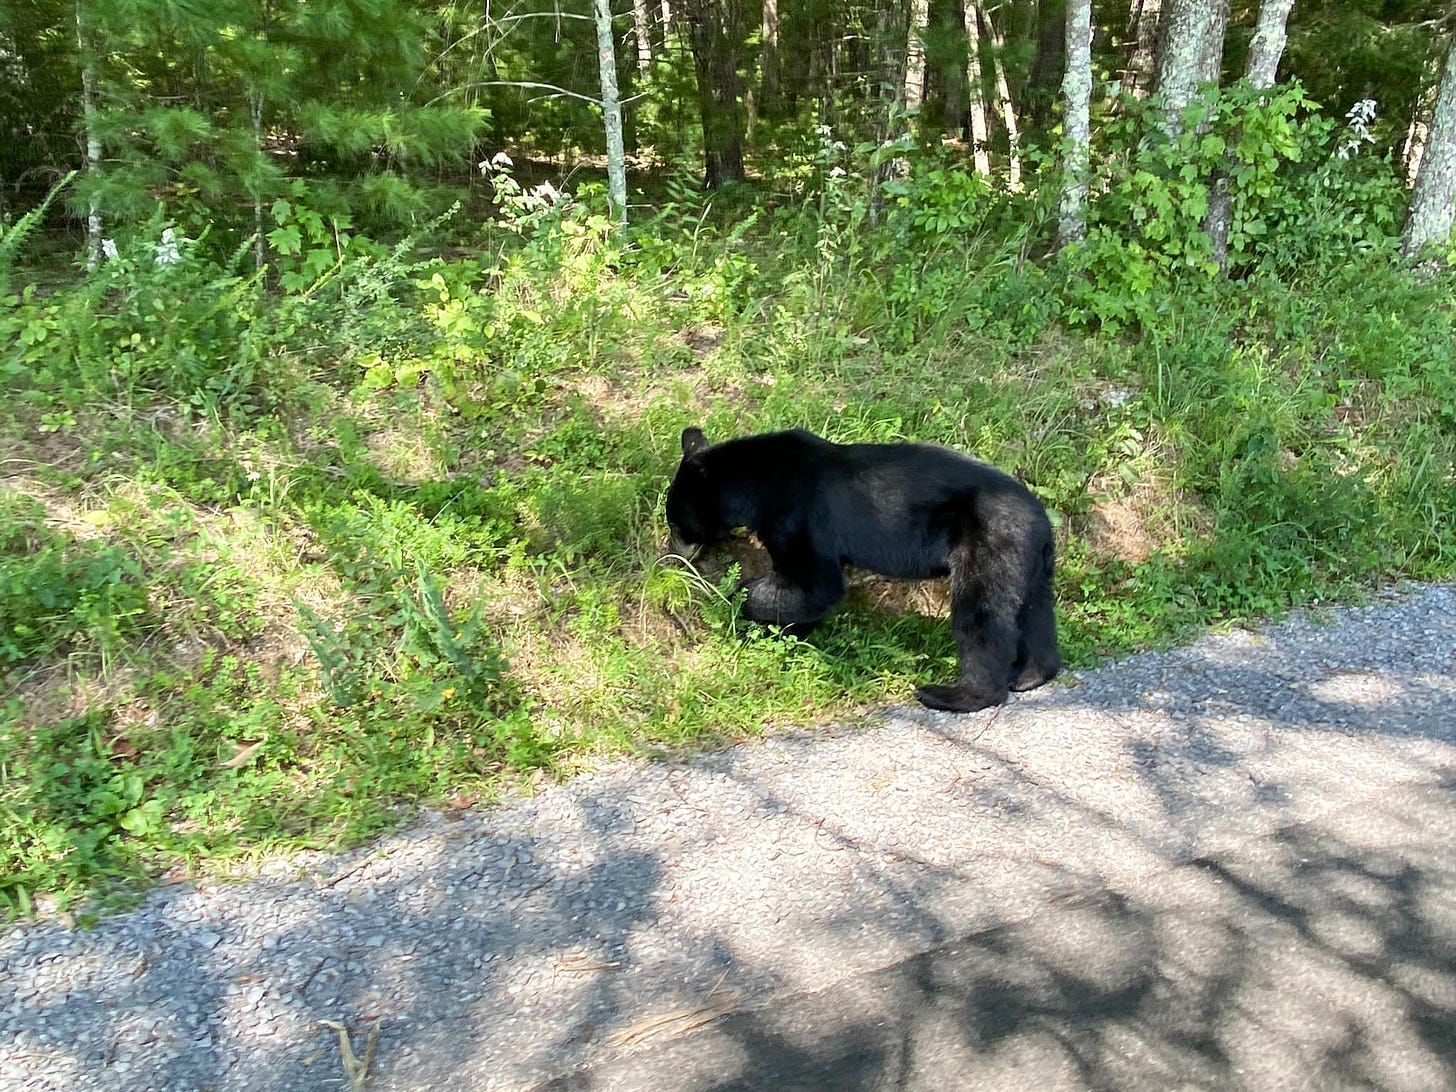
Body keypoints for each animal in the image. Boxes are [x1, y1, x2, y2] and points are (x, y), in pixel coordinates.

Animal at [666, 428, 1065, 719]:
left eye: (676, 522)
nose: (673, 555)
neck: (758, 483)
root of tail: (1043, 522)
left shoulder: (798, 516)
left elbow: (815, 584)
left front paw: (745, 602)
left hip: (989, 544)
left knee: (980, 615)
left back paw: (953, 694)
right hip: (1030, 565)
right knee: (1035, 613)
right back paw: (1030, 675)